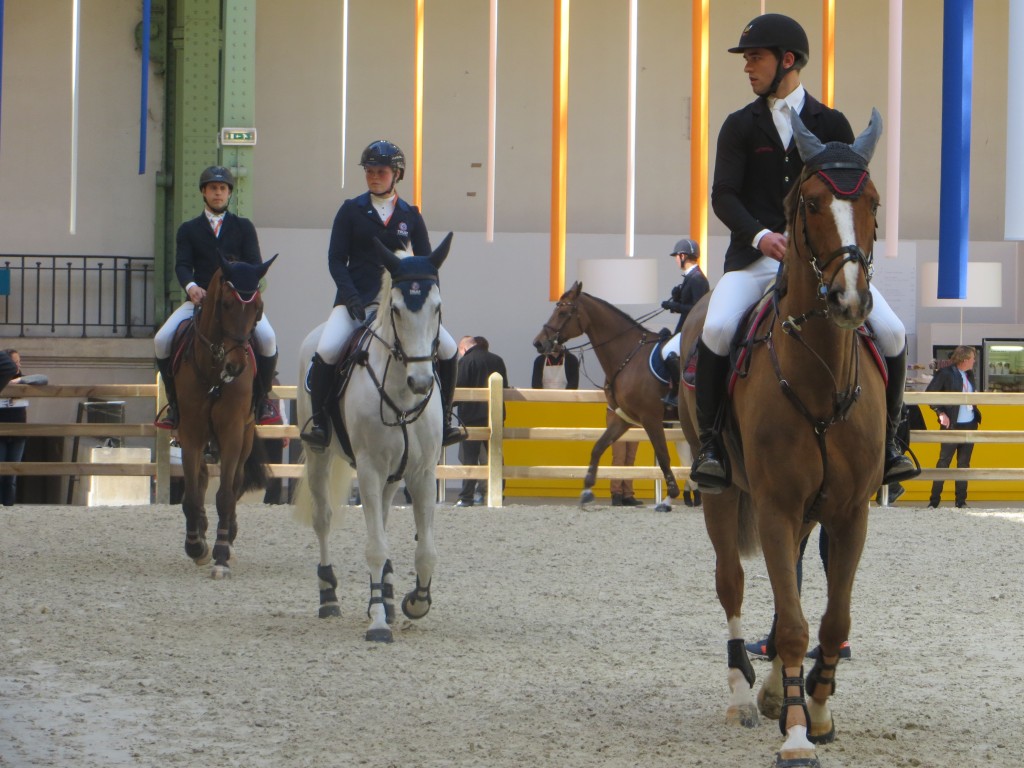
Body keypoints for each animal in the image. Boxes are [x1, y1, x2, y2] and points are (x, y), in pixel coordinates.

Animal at [174, 256, 274, 581]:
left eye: (258, 308)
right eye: (227, 304)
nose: (236, 366)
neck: (214, 371)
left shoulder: (232, 432)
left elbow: (225, 495)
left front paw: (220, 555)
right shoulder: (191, 432)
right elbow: (193, 495)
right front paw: (196, 545)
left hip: (245, 435)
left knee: (236, 483)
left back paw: (228, 536)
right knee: (202, 479)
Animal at [288, 233, 448, 643]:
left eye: (437, 308)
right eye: (396, 310)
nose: (421, 382)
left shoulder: (422, 472)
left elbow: (427, 551)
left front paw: (414, 603)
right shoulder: (369, 469)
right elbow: (375, 546)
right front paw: (377, 622)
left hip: (393, 474)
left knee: (385, 519)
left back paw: (388, 596)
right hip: (320, 456)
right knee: (323, 520)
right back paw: (329, 597)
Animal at [532, 286, 684, 507]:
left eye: (562, 313)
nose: (538, 343)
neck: (629, 355)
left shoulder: (651, 418)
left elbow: (663, 456)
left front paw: (669, 496)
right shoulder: (623, 418)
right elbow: (598, 447)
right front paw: (587, 488)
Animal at [675, 109, 884, 768]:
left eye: (872, 201)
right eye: (811, 203)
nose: (850, 299)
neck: (818, 376)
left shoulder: (848, 512)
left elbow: (833, 620)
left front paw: (814, 708)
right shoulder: (774, 505)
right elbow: (792, 623)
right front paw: (794, 734)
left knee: (786, 577)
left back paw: (770, 691)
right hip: (723, 496)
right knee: (733, 584)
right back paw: (744, 695)